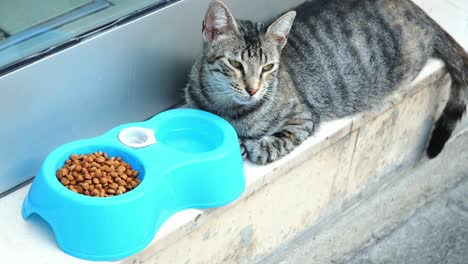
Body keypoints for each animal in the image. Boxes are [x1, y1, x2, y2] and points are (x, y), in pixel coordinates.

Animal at [185, 0, 466, 164]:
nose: (253, 90)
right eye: (235, 64)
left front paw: (252, 147)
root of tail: (416, 8)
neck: (225, 107)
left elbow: (276, 143)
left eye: (268, 67)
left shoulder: (303, 118)